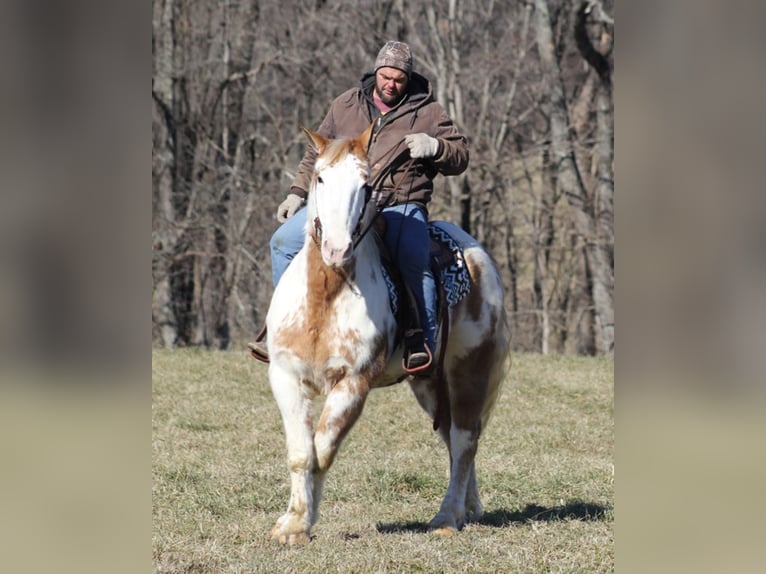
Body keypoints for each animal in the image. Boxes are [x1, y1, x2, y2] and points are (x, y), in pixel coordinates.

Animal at [264, 124, 510, 548]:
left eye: (365, 185)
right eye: (320, 178)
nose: (337, 248)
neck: (324, 298)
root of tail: (481, 257)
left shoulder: (353, 383)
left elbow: (322, 450)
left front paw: (301, 523)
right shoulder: (286, 378)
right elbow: (301, 453)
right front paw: (292, 523)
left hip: (469, 371)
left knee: (464, 439)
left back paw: (447, 516)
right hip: (429, 383)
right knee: (452, 439)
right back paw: (469, 508)